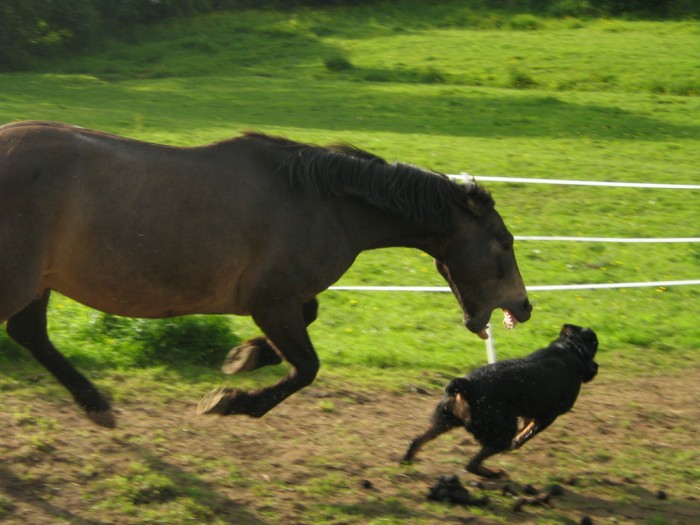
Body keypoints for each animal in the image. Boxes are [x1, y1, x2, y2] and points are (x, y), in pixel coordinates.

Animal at [0, 122, 532, 426]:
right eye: (503, 241)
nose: (524, 308)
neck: (322, 202)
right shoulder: (271, 301)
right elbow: (306, 368)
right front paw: (228, 399)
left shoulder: (283, 299)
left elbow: (306, 324)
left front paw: (243, 358)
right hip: (19, 281)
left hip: (37, 282)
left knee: (30, 333)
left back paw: (97, 406)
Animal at [402, 322, 600, 476]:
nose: (596, 368)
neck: (570, 349)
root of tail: (467, 386)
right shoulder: (548, 416)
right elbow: (526, 434)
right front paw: (517, 441)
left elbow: (526, 423)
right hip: (500, 432)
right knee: (472, 463)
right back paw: (494, 473)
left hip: (445, 420)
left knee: (417, 440)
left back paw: (407, 460)